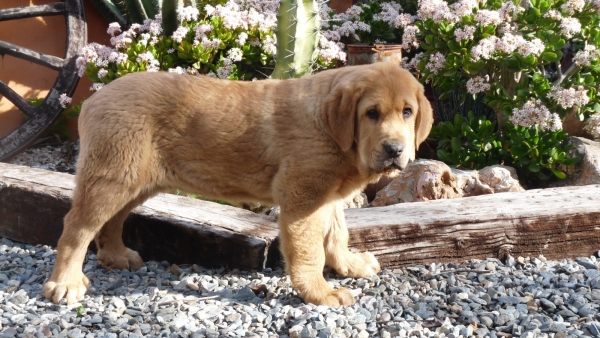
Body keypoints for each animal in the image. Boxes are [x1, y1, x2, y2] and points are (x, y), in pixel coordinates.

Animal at [45, 61, 432, 306]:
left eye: (407, 112)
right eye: (371, 114)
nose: (395, 150)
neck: (329, 128)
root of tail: (93, 99)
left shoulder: (327, 195)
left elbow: (337, 234)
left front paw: (349, 266)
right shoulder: (302, 197)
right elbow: (310, 251)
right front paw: (320, 293)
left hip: (132, 180)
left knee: (111, 221)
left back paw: (115, 256)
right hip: (112, 176)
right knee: (76, 227)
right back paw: (64, 283)